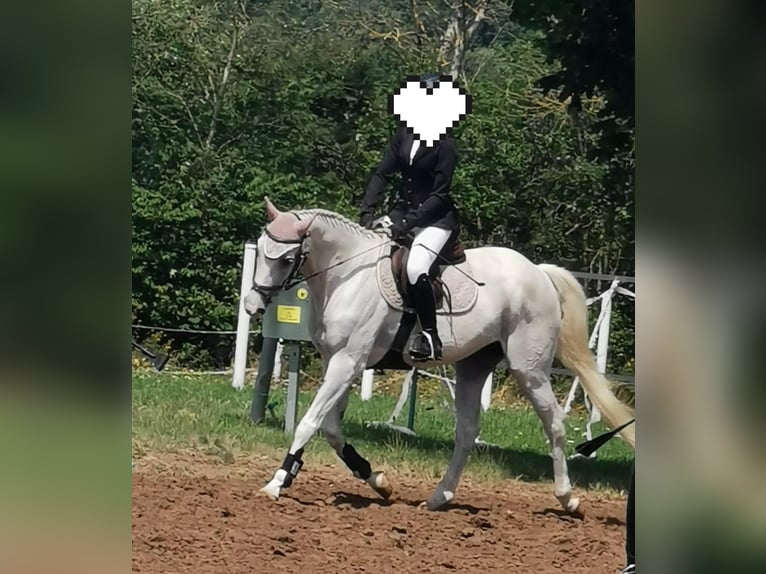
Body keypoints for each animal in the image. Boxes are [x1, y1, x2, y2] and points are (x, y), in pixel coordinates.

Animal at [246, 200, 636, 516]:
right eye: (260, 250)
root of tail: (538, 272)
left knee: (553, 421)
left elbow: (309, 423)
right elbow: (330, 428)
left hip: (530, 368)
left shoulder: (348, 362)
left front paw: (276, 482)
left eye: (285, 259)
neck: (345, 276)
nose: (252, 306)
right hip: (473, 366)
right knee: (467, 431)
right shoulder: (337, 362)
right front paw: (377, 479)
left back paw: (568, 499)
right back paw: (439, 497)